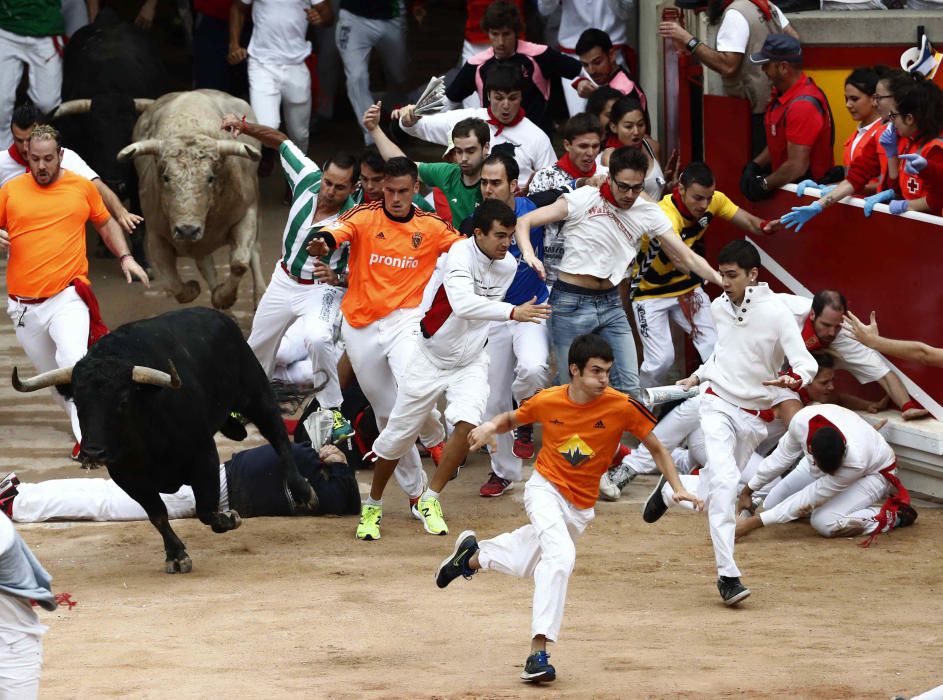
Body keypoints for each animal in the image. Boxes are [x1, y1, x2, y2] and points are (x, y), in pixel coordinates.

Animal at [12, 308, 318, 572]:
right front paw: (176, 555)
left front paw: (229, 518)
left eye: (123, 401)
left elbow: (206, 509)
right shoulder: (127, 476)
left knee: (278, 436)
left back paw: (303, 491)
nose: (94, 452)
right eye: (77, 401)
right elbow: (157, 514)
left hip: (255, 390)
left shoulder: (204, 456)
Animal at [120, 89, 266, 308]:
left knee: (253, 252)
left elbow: (240, 262)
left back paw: (258, 295)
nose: (187, 230)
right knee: (206, 265)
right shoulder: (156, 236)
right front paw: (199, 290)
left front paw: (225, 297)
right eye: (166, 177)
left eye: (210, 178)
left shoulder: (246, 215)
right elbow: (173, 285)